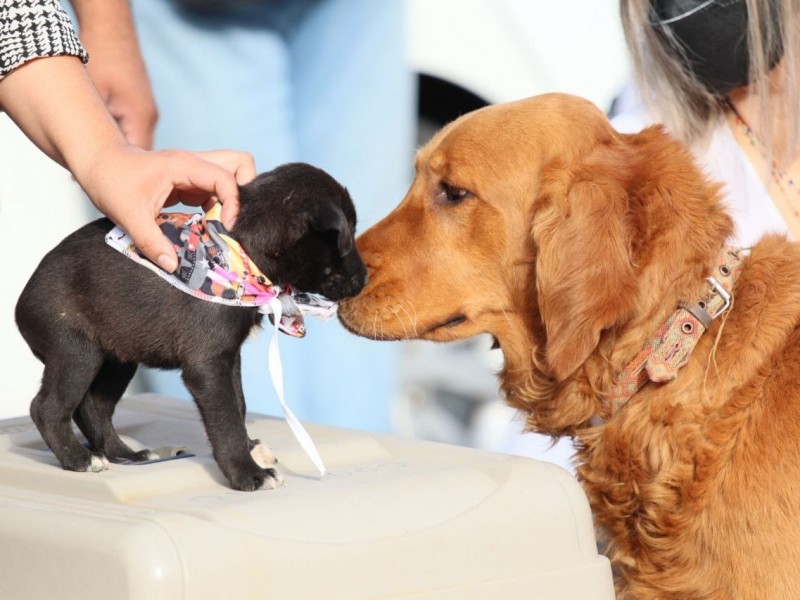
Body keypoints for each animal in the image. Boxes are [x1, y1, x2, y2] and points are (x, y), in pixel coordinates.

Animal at [15, 163, 366, 492]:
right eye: (347, 237)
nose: (364, 279)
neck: (241, 253)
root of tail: (21, 304)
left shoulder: (228, 357)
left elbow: (238, 404)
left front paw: (250, 448)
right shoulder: (206, 366)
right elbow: (225, 419)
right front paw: (246, 472)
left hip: (118, 357)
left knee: (94, 406)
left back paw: (125, 454)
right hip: (77, 352)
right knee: (46, 408)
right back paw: (79, 459)